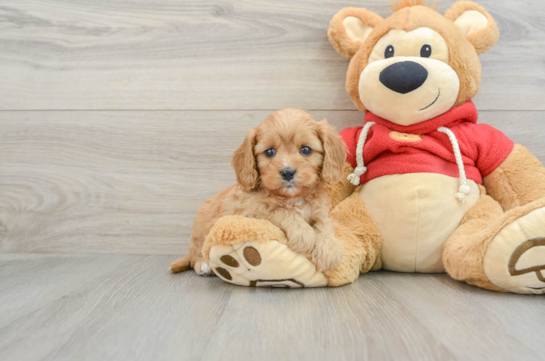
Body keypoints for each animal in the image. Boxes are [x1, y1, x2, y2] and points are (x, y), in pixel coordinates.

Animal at [171, 108, 344, 274]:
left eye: (306, 150)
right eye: (269, 152)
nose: (288, 172)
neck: (292, 197)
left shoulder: (320, 211)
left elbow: (324, 224)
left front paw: (330, 251)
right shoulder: (253, 212)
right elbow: (281, 211)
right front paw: (303, 234)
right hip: (200, 235)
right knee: (196, 256)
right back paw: (203, 265)